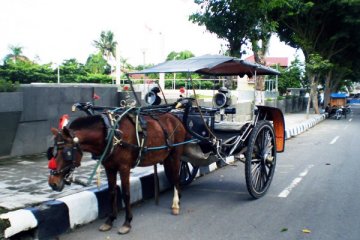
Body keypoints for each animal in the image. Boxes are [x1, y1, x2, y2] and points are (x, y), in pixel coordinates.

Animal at [47, 112, 187, 234]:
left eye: (67, 153)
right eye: (52, 151)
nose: (52, 183)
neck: (110, 134)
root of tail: (175, 116)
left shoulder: (124, 167)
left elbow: (126, 194)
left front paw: (127, 222)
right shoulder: (109, 168)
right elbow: (112, 192)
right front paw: (110, 220)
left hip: (175, 154)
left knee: (176, 176)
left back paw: (176, 204)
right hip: (167, 157)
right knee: (172, 175)